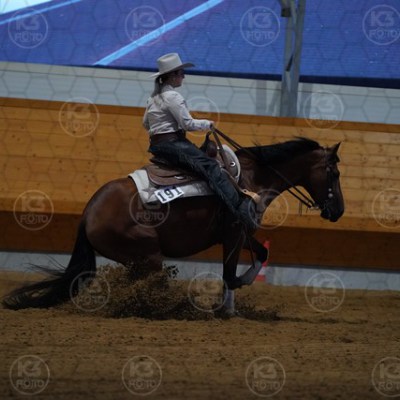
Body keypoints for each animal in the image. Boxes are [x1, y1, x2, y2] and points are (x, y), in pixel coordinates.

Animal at [2, 137, 344, 313]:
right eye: (334, 173)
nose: (339, 210)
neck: (249, 179)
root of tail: (88, 213)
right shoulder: (234, 233)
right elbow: (229, 273)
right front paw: (228, 307)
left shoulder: (241, 233)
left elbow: (261, 255)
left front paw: (235, 296)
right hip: (148, 253)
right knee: (150, 282)